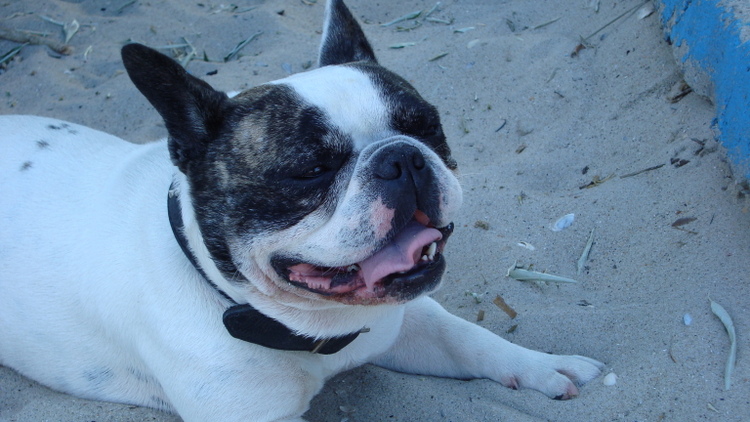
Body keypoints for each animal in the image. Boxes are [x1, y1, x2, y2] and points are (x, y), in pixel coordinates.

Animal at [0, 1, 603, 420]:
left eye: (426, 126)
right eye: (310, 169)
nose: (401, 157)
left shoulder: (405, 320)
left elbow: (467, 339)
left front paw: (541, 365)